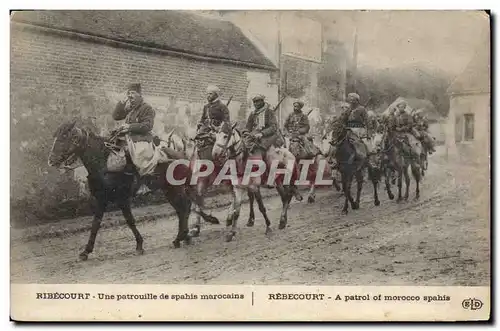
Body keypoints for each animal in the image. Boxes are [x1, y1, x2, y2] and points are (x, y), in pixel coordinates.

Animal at [47, 119, 201, 262]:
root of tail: (181, 155)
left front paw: (139, 245)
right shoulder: (101, 199)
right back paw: (183, 237)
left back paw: (182, 237)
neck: (103, 163)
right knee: (181, 209)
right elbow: (95, 224)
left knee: (185, 207)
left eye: (65, 136)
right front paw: (86, 251)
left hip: (175, 188)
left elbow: (130, 220)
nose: (51, 160)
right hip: (168, 190)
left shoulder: (122, 199)